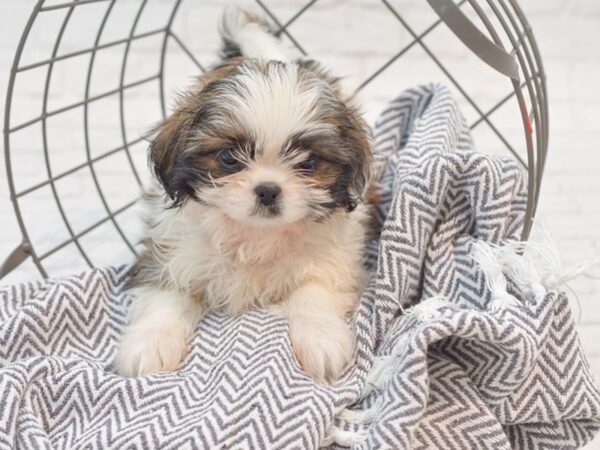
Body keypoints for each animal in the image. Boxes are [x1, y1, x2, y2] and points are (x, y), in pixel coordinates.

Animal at [114, 8, 372, 382]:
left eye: (308, 162)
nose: (268, 190)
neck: (254, 235)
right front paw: (149, 344)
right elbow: (165, 294)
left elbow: (314, 291)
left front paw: (322, 339)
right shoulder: (168, 252)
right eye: (228, 158)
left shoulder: (332, 261)